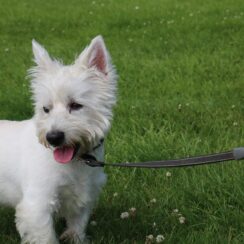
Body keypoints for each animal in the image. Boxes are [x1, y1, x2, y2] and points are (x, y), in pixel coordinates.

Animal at [0, 35, 117, 243]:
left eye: (76, 105)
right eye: (46, 109)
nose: (53, 137)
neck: (76, 163)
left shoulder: (83, 195)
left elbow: (77, 226)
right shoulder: (37, 204)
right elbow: (46, 236)